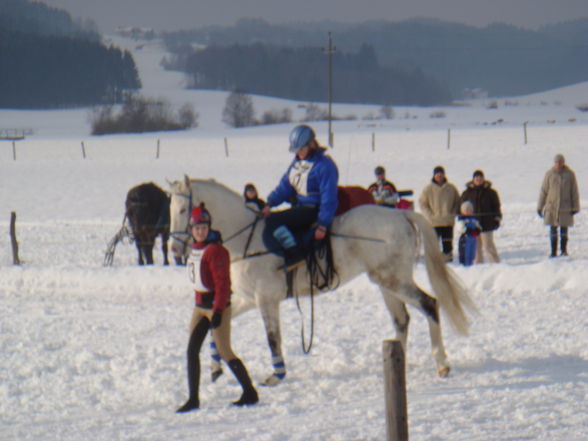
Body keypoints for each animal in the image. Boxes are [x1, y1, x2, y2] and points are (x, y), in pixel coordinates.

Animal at [168, 176, 476, 384]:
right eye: (169, 209)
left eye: (184, 211)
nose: (174, 249)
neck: (246, 239)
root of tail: (400, 214)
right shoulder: (246, 299)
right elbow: (214, 324)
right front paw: (215, 368)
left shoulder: (266, 299)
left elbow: (272, 338)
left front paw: (277, 374)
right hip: (386, 281)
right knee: (402, 320)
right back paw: (397, 360)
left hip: (396, 280)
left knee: (429, 304)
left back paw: (441, 361)